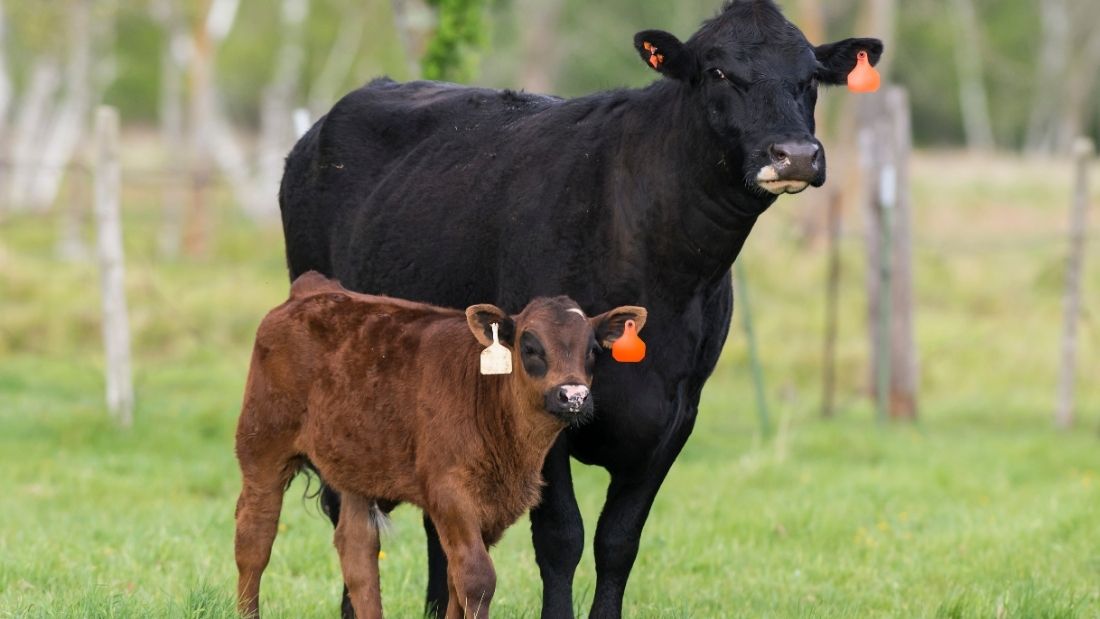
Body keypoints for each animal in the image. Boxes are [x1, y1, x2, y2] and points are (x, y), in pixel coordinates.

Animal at [234, 271, 647, 618]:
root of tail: (313, 289)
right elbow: (478, 579)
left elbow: (456, 580)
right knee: (255, 538)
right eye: (530, 347)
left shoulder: (486, 508)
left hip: (354, 466)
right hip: (262, 446)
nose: (573, 396)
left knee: (357, 552)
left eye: (592, 351)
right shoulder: (449, 494)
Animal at [278, 1, 883, 616]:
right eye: (717, 71)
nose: (796, 154)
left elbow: (619, 541)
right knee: (351, 512)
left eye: (810, 77)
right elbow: (561, 537)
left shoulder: (677, 415)